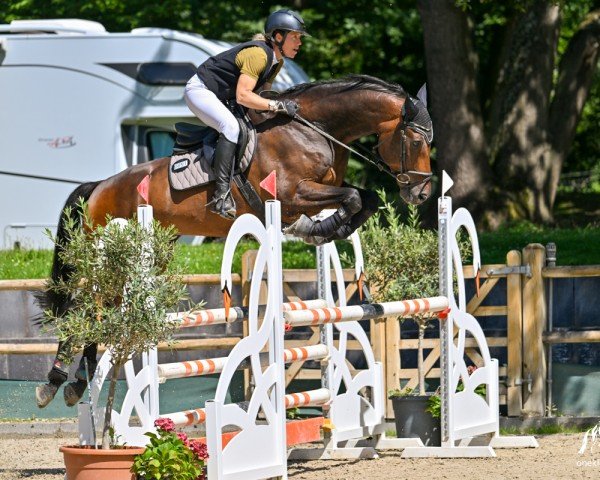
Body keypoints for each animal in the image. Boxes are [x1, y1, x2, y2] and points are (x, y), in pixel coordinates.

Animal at [35, 73, 434, 406]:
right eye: (416, 141)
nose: (422, 194)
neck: (315, 130)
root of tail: (99, 186)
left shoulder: (318, 191)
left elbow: (364, 199)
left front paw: (322, 229)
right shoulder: (292, 194)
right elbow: (352, 198)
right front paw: (318, 229)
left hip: (151, 253)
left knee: (103, 307)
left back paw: (77, 382)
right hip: (113, 248)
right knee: (86, 304)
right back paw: (55, 383)